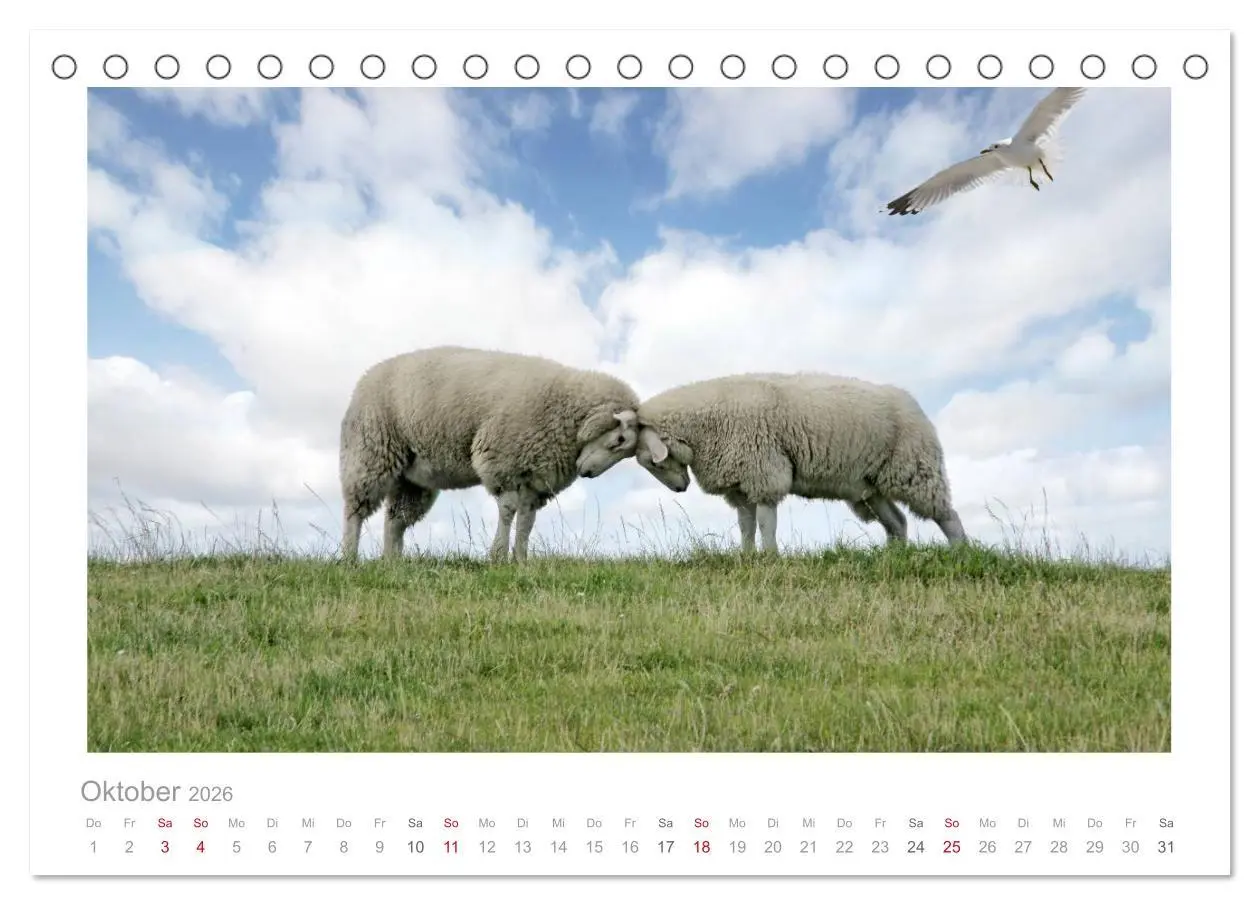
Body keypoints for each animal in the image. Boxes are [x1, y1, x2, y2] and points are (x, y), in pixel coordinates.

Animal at [338, 345, 641, 564]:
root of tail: (364, 378)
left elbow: (527, 521)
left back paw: (392, 562)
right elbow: (508, 511)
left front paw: (521, 560)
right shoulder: (504, 463)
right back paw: (350, 557)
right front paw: (497, 556)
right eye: (619, 439)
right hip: (370, 452)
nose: (587, 473)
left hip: (411, 478)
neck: (566, 411)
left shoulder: (535, 480)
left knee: (395, 520)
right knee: (356, 510)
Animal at [632, 372, 966, 554]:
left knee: (946, 514)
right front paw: (746, 556)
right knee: (897, 522)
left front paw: (770, 556)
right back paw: (893, 557)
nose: (680, 489)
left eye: (652, 461)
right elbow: (746, 526)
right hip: (871, 486)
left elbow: (765, 523)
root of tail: (909, 399)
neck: (703, 427)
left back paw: (962, 553)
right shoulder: (740, 482)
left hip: (915, 468)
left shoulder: (764, 471)